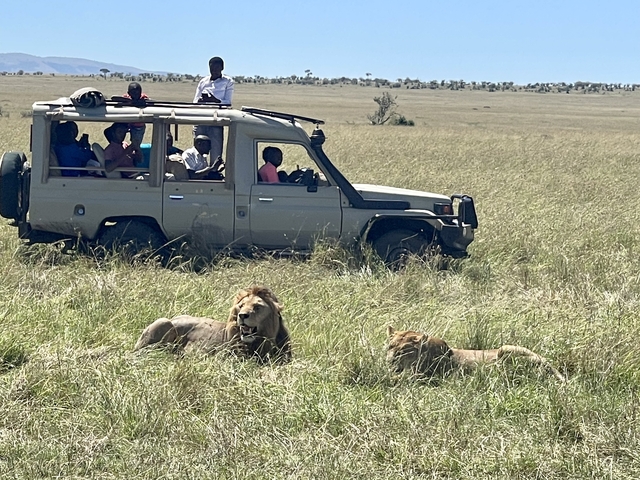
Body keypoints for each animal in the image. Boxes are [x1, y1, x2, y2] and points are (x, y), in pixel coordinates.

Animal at [386, 326, 565, 382]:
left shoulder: (426, 377)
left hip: (505, 348)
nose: (389, 360)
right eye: (390, 346)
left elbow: (398, 379)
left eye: (403, 350)